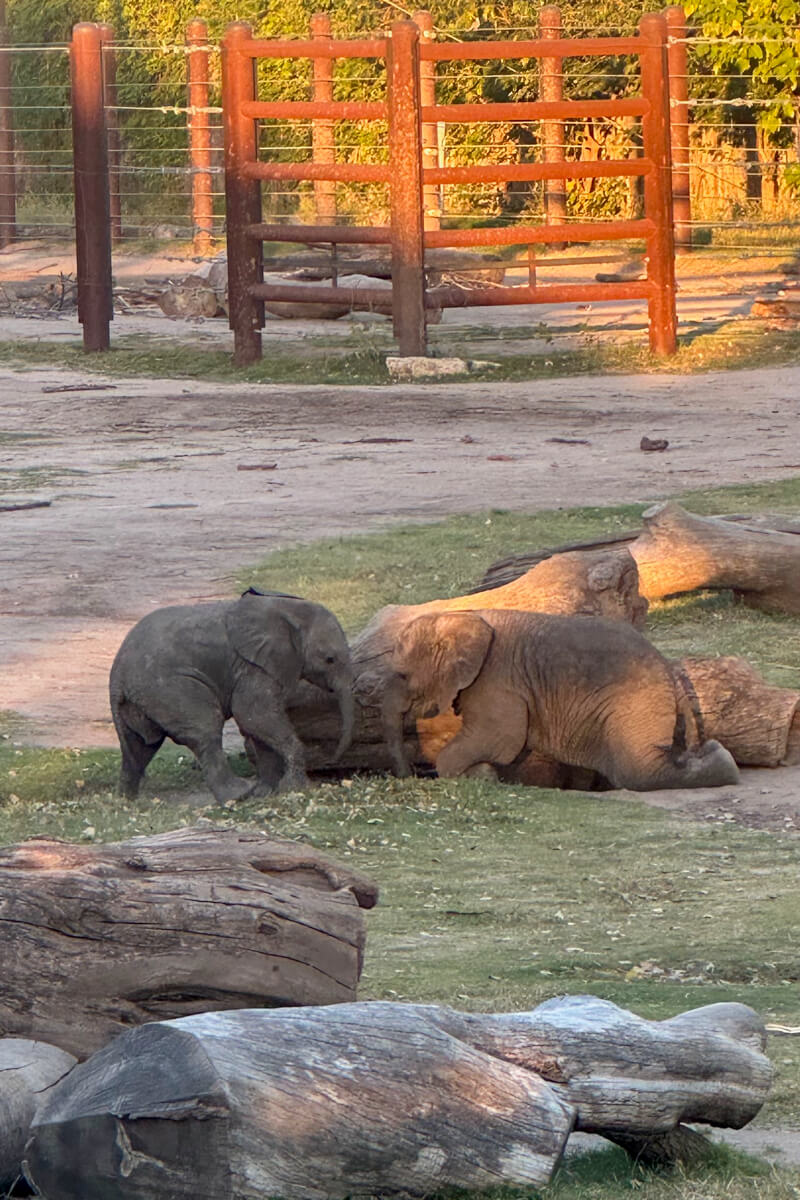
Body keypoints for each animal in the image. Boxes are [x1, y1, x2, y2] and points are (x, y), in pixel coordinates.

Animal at [110, 589, 354, 804]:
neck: (287, 608)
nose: (333, 759)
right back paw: (237, 795)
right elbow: (252, 714)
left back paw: (127, 799)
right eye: (330, 659)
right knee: (205, 731)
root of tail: (117, 678)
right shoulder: (253, 666)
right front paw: (296, 789)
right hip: (169, 688)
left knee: (140, 745)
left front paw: (267, 792)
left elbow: (255, 725)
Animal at [382, 610, 739, 792]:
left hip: (635, 702)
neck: (460, 616)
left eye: (402, 675)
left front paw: (479, 774)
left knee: (637, 769)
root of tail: (668, 671)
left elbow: (499, 737)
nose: (410, 774)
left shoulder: (498, 679)